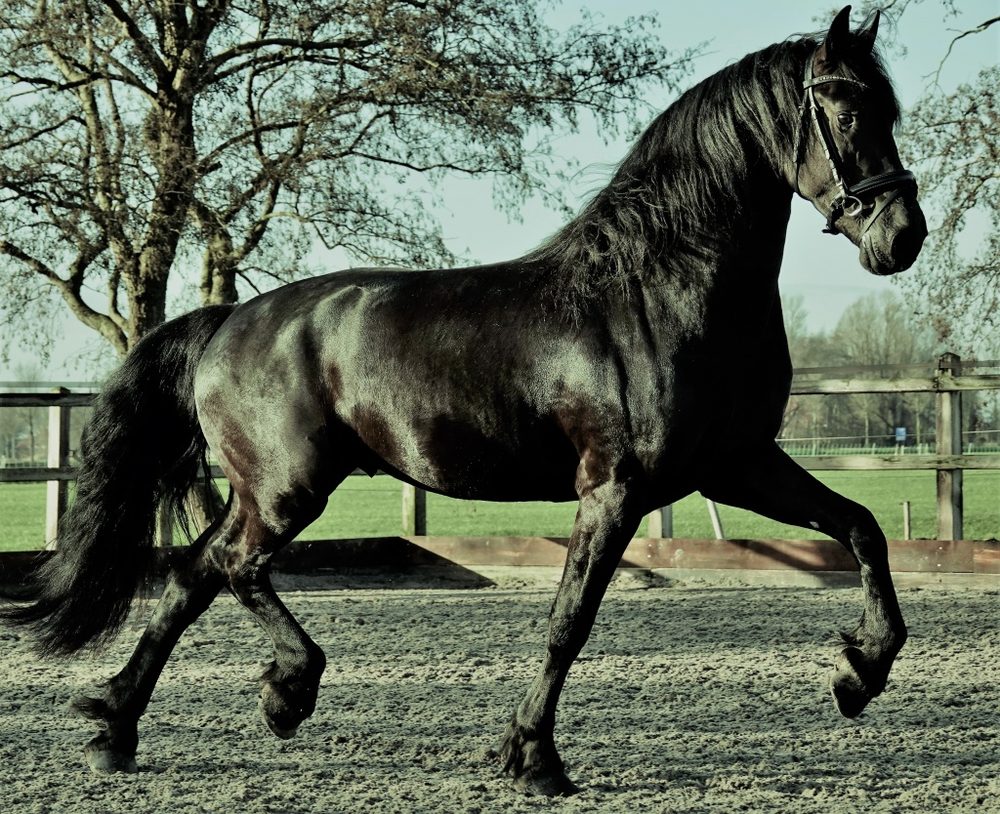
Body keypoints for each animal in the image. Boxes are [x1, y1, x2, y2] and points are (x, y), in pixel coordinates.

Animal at [2, 5, 926, 796]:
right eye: (847, 109)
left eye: (889, 109)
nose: (902, 236)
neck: (657, 291)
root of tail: (231, 319)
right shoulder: (616, 488)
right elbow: (568, 621)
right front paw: (533, 758)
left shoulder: (735, 465)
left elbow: (861, 529)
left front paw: (859, 672)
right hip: (285, 489)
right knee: (226, 567)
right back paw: (278, 691)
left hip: (268, 491)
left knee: (197, 572)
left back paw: (122, 727)